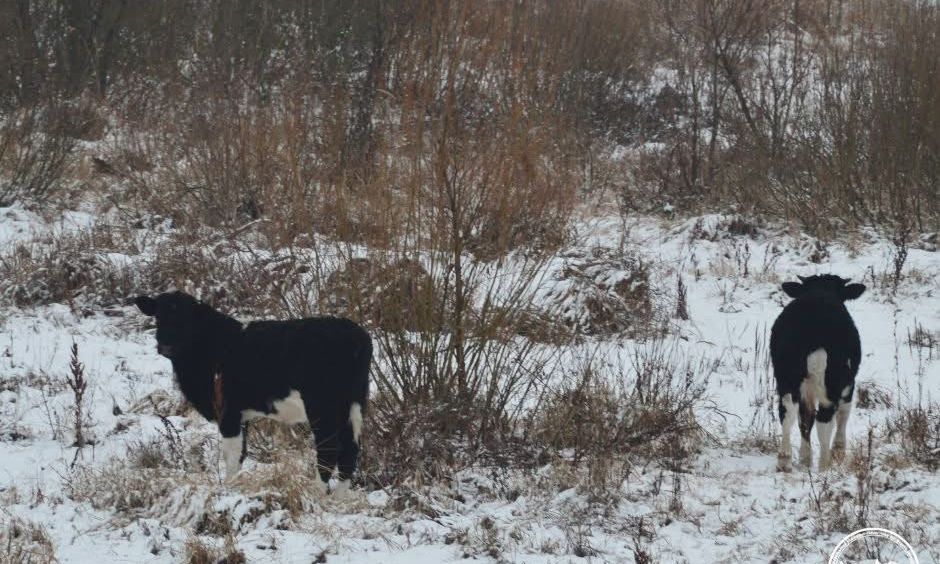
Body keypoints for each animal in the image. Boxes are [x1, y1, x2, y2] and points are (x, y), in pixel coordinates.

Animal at [136, 294, 370, 492]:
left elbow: (231, 454)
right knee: (350, 450)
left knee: (329, 450)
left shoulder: (228, 410)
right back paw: (339, 498)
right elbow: (241, 452)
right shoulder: (241, 414)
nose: (166, 346)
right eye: (158, 317)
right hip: (353, 405)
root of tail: (355, 334)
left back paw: (318, 494)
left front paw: (229, 489)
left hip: (322, 406)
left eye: (186, 319)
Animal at [768, 274, 864, 472]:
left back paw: (784, 459)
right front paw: (838, 452)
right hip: (832, 382)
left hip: (786, 377)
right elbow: (843, 413)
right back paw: (824, 466)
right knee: (825, 420)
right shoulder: (849, 384)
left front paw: (805, 459)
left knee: (787, 411)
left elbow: (805, 419)